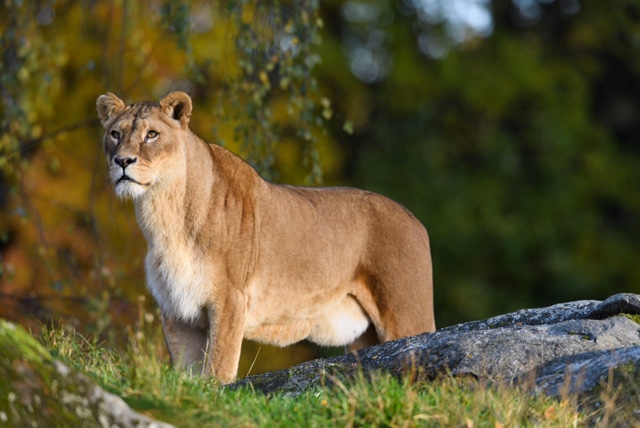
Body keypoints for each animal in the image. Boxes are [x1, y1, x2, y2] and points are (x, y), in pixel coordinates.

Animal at [96, 91, 435, 383]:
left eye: (152, 135)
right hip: (365, 339)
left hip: (405, 316)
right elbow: (186, 374)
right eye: (115, 134)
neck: (163, 213)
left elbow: (219, 367)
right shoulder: (176, 311)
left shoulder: (230, 299)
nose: (123, 161)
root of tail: (415, 219)